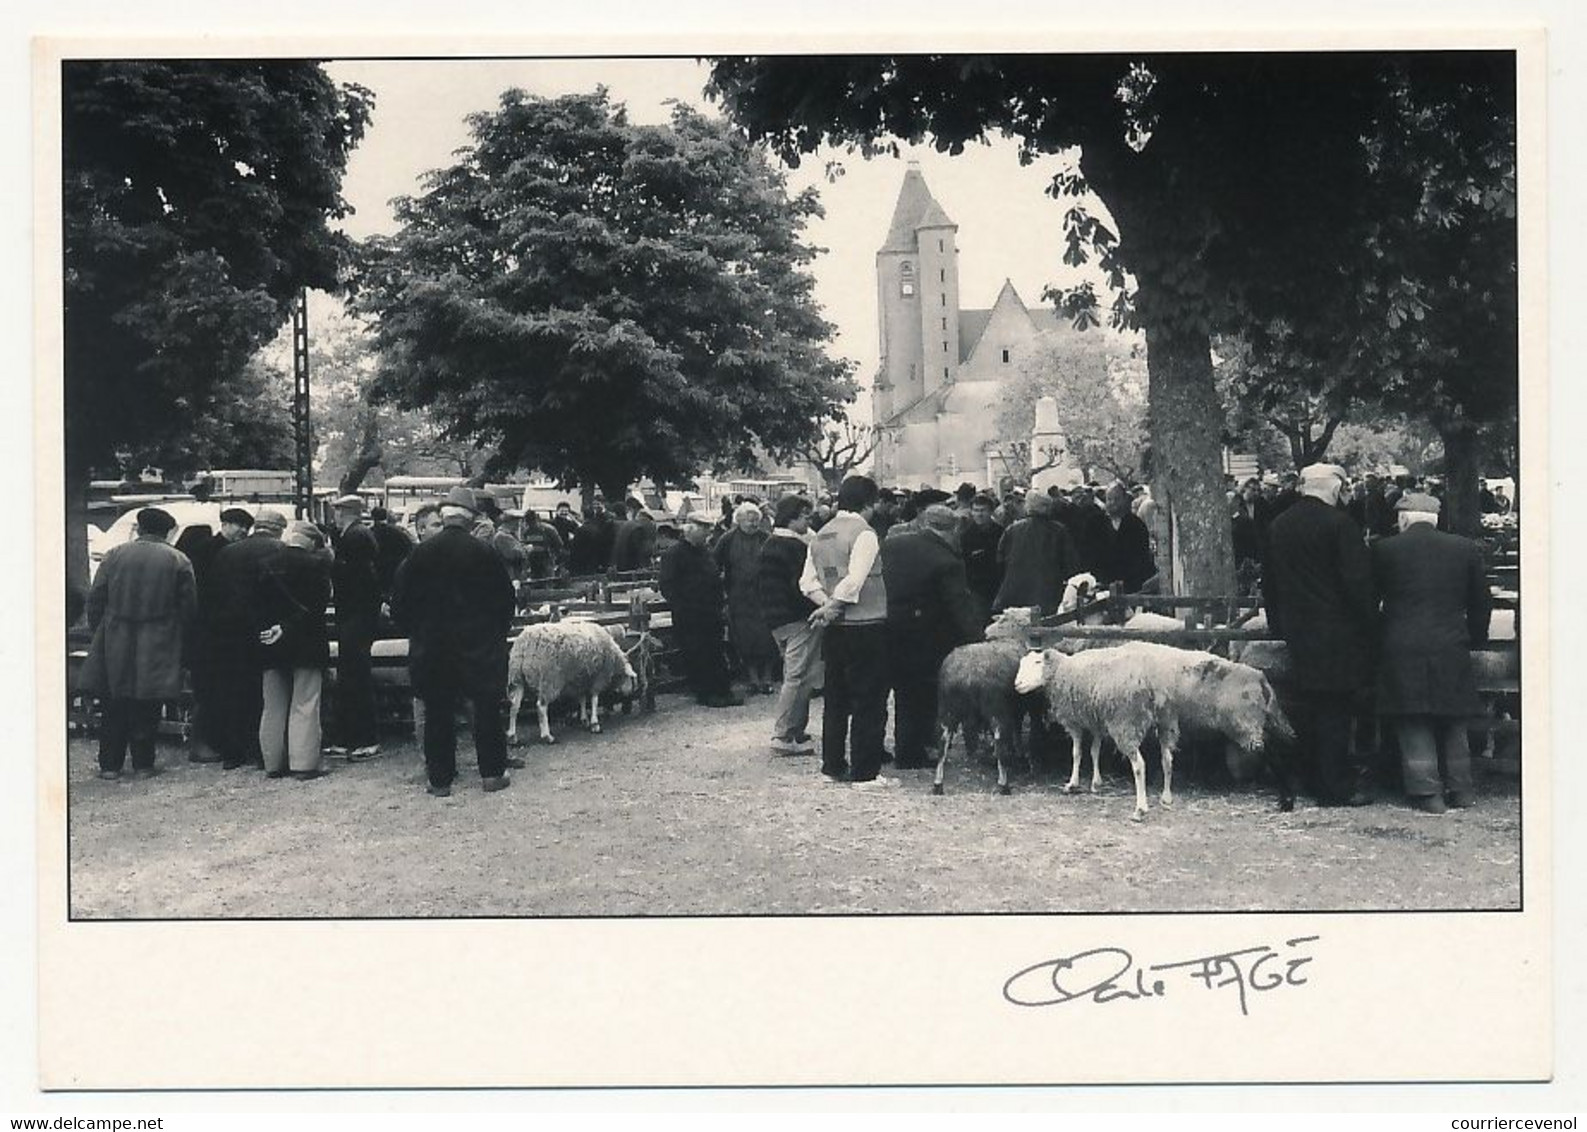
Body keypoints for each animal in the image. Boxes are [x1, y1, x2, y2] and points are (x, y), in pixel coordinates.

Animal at [504, 612, 634, 746]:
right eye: (628, 677)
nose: (629, 692)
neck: (614, 659)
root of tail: (526, 645)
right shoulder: (598, 677)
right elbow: (594, 700)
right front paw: (595, 724)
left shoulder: (581, 679)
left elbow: (582, 699)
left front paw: (584, 719)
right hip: (549, 680)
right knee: (541, 706)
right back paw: (547, 736)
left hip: (516, 678)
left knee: (514, 705)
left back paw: (512, 736)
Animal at [1009, 641, 1294, 819]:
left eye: (1037, 662)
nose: (1017, 685)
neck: (1066, 670)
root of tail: (1261, 678)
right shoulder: (1098, 719)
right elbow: (1094, 751)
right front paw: (1096, 782)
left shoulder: (1078, 721)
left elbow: (1078, 752)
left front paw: (1073, 783)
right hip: (1170, 722)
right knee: (1167, 758)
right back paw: (1166, 798)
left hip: (1243, 723)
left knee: (1140, 765)